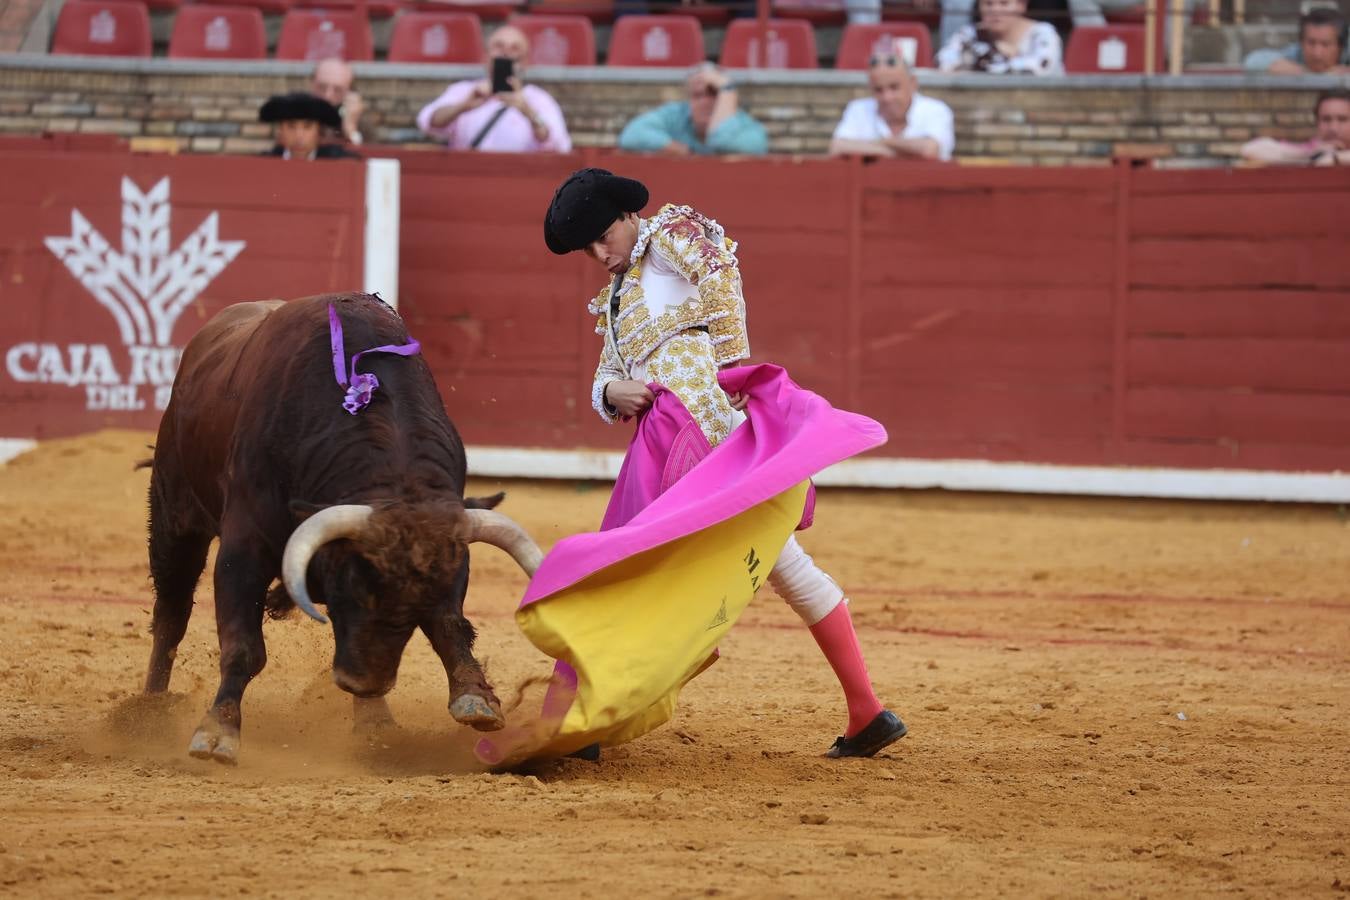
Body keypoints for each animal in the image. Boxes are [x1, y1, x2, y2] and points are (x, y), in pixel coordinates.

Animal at [139, 295, 534, 766]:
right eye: (355, 587)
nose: (363, 683)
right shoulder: (243, 549)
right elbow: (243, 646)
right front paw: (217, 733)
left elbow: (450, 623)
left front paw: (474, 698)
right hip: (173, 515)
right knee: (171, 612)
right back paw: (145, 715)